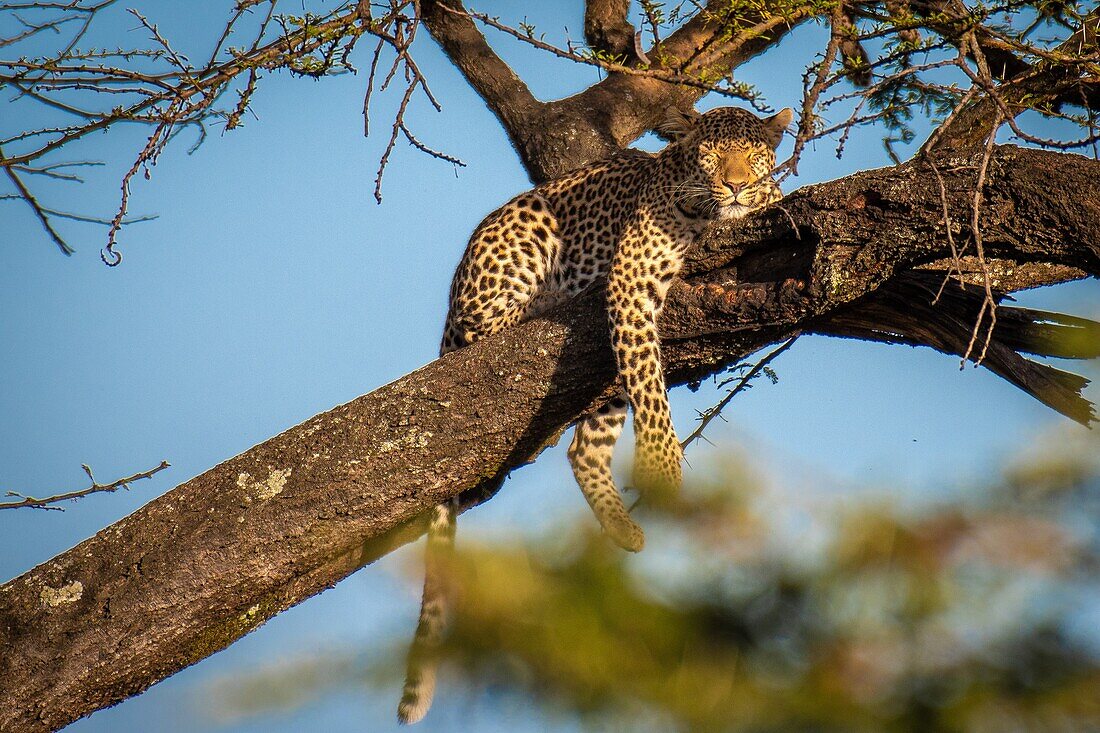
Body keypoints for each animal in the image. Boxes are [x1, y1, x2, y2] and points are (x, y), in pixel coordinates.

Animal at [400, 105, 796, 721]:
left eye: (753, 155)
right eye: (712, 154)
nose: (734, 184)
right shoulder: (632, 280)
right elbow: (652, 388)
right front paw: (661, 466)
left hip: (601, 387)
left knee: (582, 448)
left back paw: (622, 526)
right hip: (520, 240)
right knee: (483, 332)